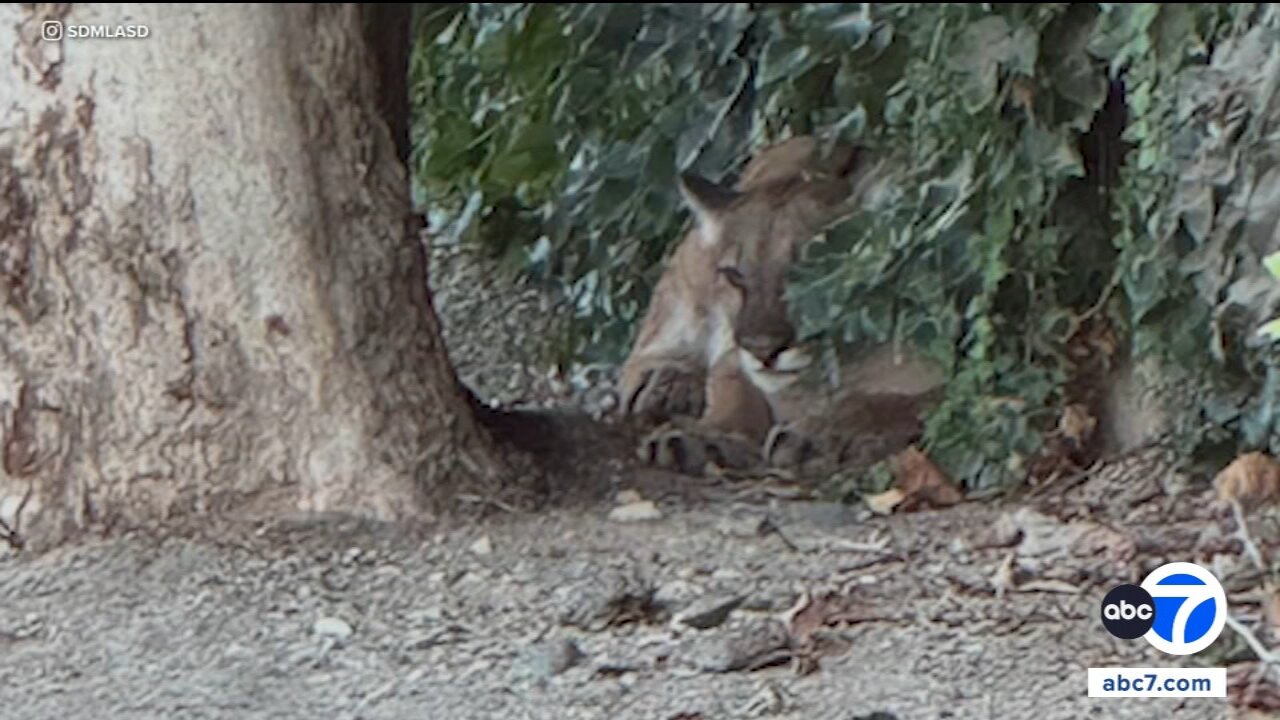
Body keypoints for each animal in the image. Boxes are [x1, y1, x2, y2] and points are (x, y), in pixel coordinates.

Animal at [618, 135, 946, 476]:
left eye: (810, 269)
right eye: (734, 275)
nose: (762, 349)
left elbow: (890, 403)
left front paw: (817, 437)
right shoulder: (734, 357)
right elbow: (733, 394)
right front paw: (708, 435)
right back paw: (667, 385)